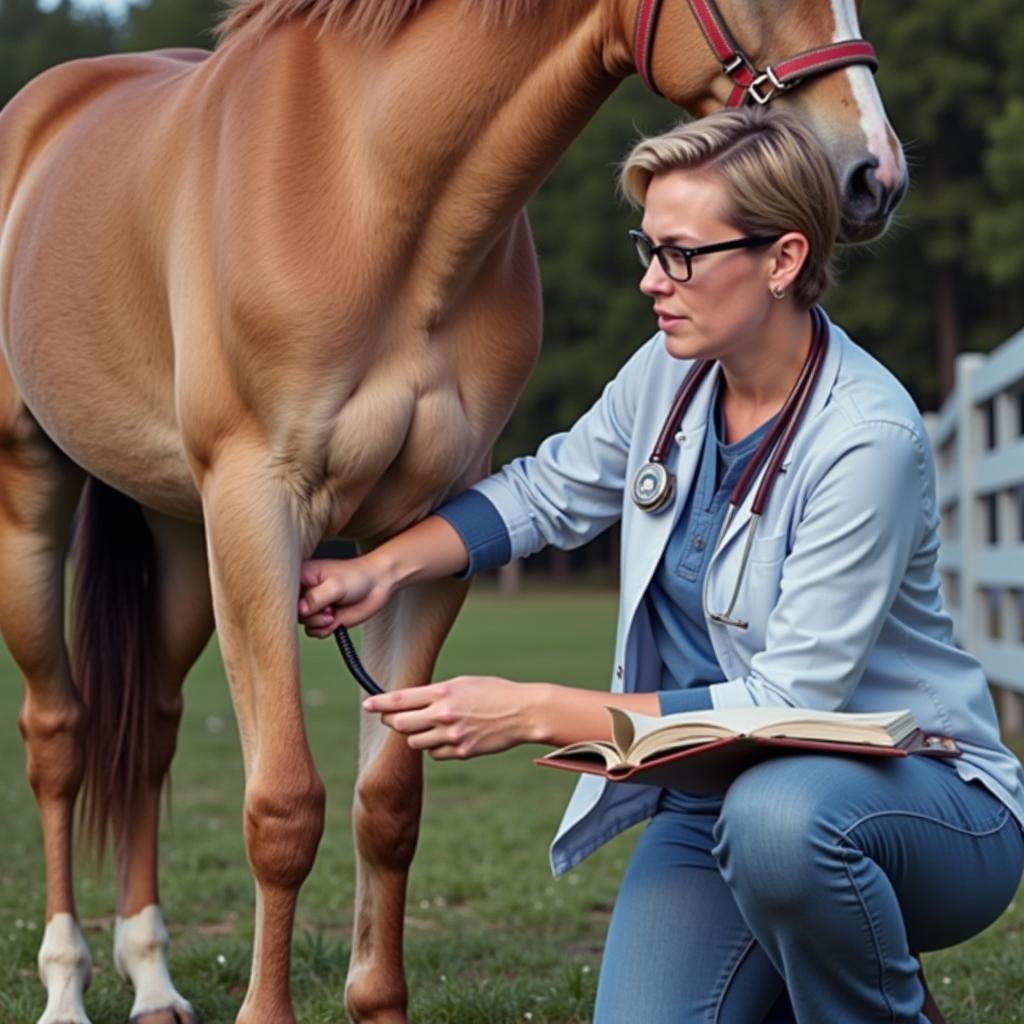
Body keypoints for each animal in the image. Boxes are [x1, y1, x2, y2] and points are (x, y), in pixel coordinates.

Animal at [0, 2, 913, 1024]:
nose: (873, 174)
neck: (370, 190)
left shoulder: (424, 526)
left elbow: (388, 803)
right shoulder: (253, 508)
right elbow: (283, 805)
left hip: (182, 540)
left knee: (150, 732)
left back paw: (153, 979)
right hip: (37, 501)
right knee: (59, 739)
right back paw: (66, 983)